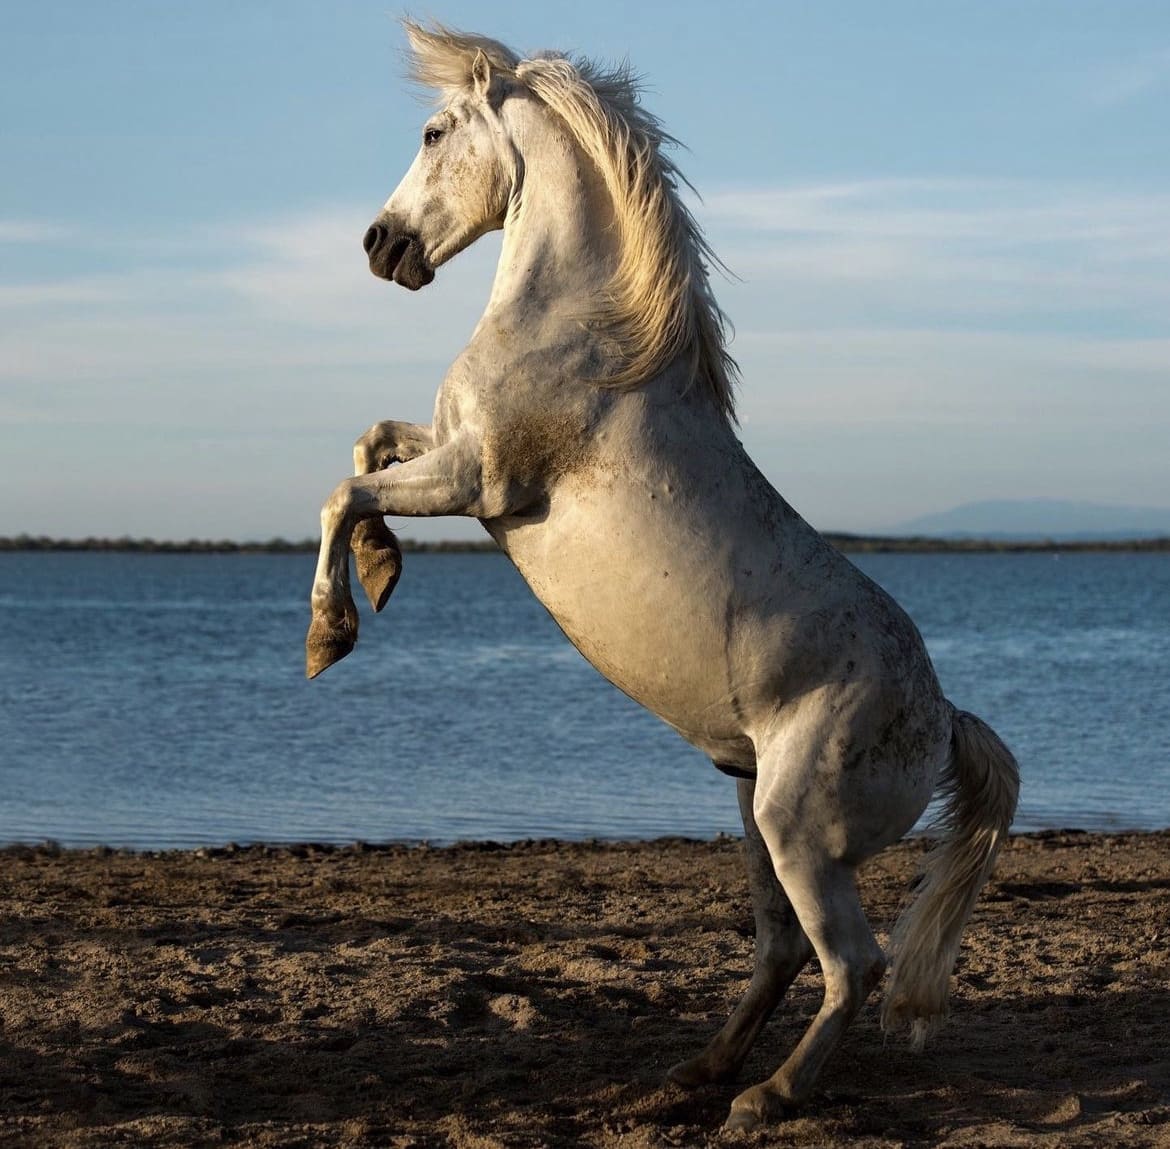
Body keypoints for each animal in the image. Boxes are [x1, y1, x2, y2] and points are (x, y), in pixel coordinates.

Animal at [306, 26, 1020, 1132]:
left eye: (432, 132)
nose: (381, 246)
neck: (583, 331)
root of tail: (946, 723)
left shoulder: (478, 478)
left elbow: (342, 491)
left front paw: (332, 631)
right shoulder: (449, 450)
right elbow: (370, 444)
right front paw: (383, 572)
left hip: (798, 833)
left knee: (853, 964)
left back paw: (766, 1096)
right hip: (755, 817)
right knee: (780, 949)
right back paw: (695, 1072)